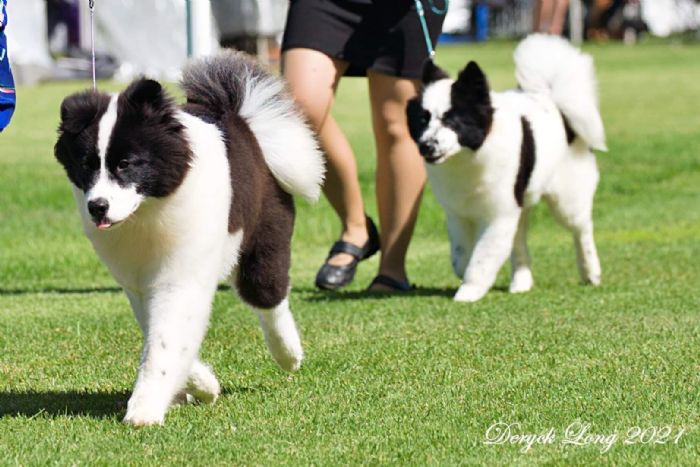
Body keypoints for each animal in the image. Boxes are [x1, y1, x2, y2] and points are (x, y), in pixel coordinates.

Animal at [53, 51, 324, 425]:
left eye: (126, 164)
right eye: (86, 165)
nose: (97, 207)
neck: (148, 211)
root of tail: (238, 116)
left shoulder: (179, 275)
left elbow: (164, 341)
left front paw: (144, 409)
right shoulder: (138, 283)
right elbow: (161, 334)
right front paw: (202, 386)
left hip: (264, 237)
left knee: (268, 294)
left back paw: (289, 354)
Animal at [406, 34, 606, 302]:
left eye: (452, 120)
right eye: (423, 120)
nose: (426, 146)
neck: (469, 156)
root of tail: (554, 100)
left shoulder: (499, 214)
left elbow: (482, 257)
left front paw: (468, 293)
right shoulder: (459, 214)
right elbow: (461, 255)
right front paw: (465, 273)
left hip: (566, 199)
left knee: (581, 228)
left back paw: (590, 272)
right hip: (521, 202)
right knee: (520, 240)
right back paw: (522, 282)